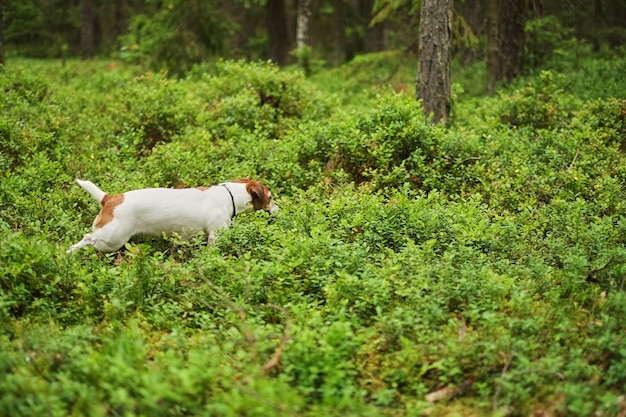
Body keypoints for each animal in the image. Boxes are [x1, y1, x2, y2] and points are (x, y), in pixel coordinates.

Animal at [65, 177, 276, 252]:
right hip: (111, 240)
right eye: (271, 197)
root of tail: (109, 198)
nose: (278, 209)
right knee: (88, 238)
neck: (229, 195)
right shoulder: (215, 235)